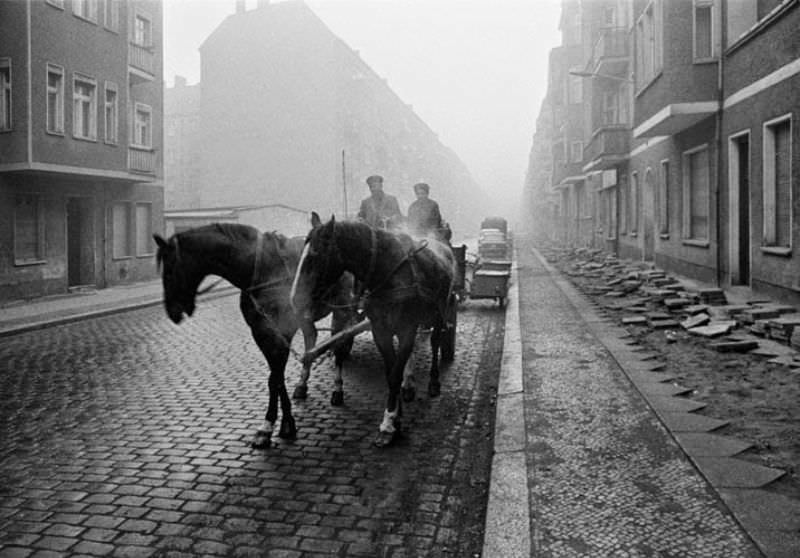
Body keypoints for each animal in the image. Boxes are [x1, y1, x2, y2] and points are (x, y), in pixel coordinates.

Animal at [153, 223, 356, 450]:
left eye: (170, 271)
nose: (172, 312)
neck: (260, 270)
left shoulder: (282, 332)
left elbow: (275, 378)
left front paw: (275, 426)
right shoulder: (261, 332)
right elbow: (275, 378)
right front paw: (278, 424)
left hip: (343, 310)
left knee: (340, 346)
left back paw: (337, 389)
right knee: (312, 339)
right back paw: (302, 384)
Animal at [292, 212, 456, 448]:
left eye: (315, 255)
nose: (295, 299)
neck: (387, 271)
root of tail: (440, 243)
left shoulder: (406, 328)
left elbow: (395, 373)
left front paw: (388, 425)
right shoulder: (381, 331)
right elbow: (391, 372)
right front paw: (396, 417)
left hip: (441, 311)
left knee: (435, 342)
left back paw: (433, 382)